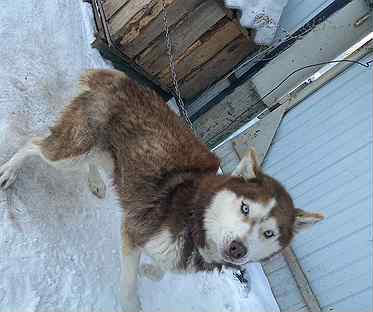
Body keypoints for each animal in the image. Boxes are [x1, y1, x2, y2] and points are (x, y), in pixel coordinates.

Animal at [0, 70, 322, 312]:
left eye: (269, 233)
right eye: (245, 208)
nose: (237, 249)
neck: (194, 220)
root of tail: (122, 80)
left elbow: (161, 270)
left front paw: (152, 271)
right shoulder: (134, 231)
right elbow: (129, 283)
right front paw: (130, 303)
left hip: (111, 159)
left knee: (87, 162)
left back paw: (95, 182)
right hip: (74, 150)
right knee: (34, 145)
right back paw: (9, 171)